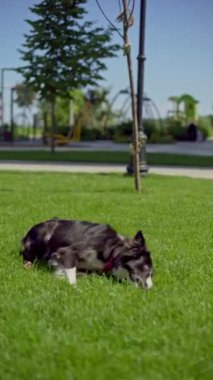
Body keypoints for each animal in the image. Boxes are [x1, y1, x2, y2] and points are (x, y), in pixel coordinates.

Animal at [20, 218, 153, 290]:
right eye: (146, 267)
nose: (150, 289)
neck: (112, 249)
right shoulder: (66, 252)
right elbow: (72, 275)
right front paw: (74, 288)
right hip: (44, 234)